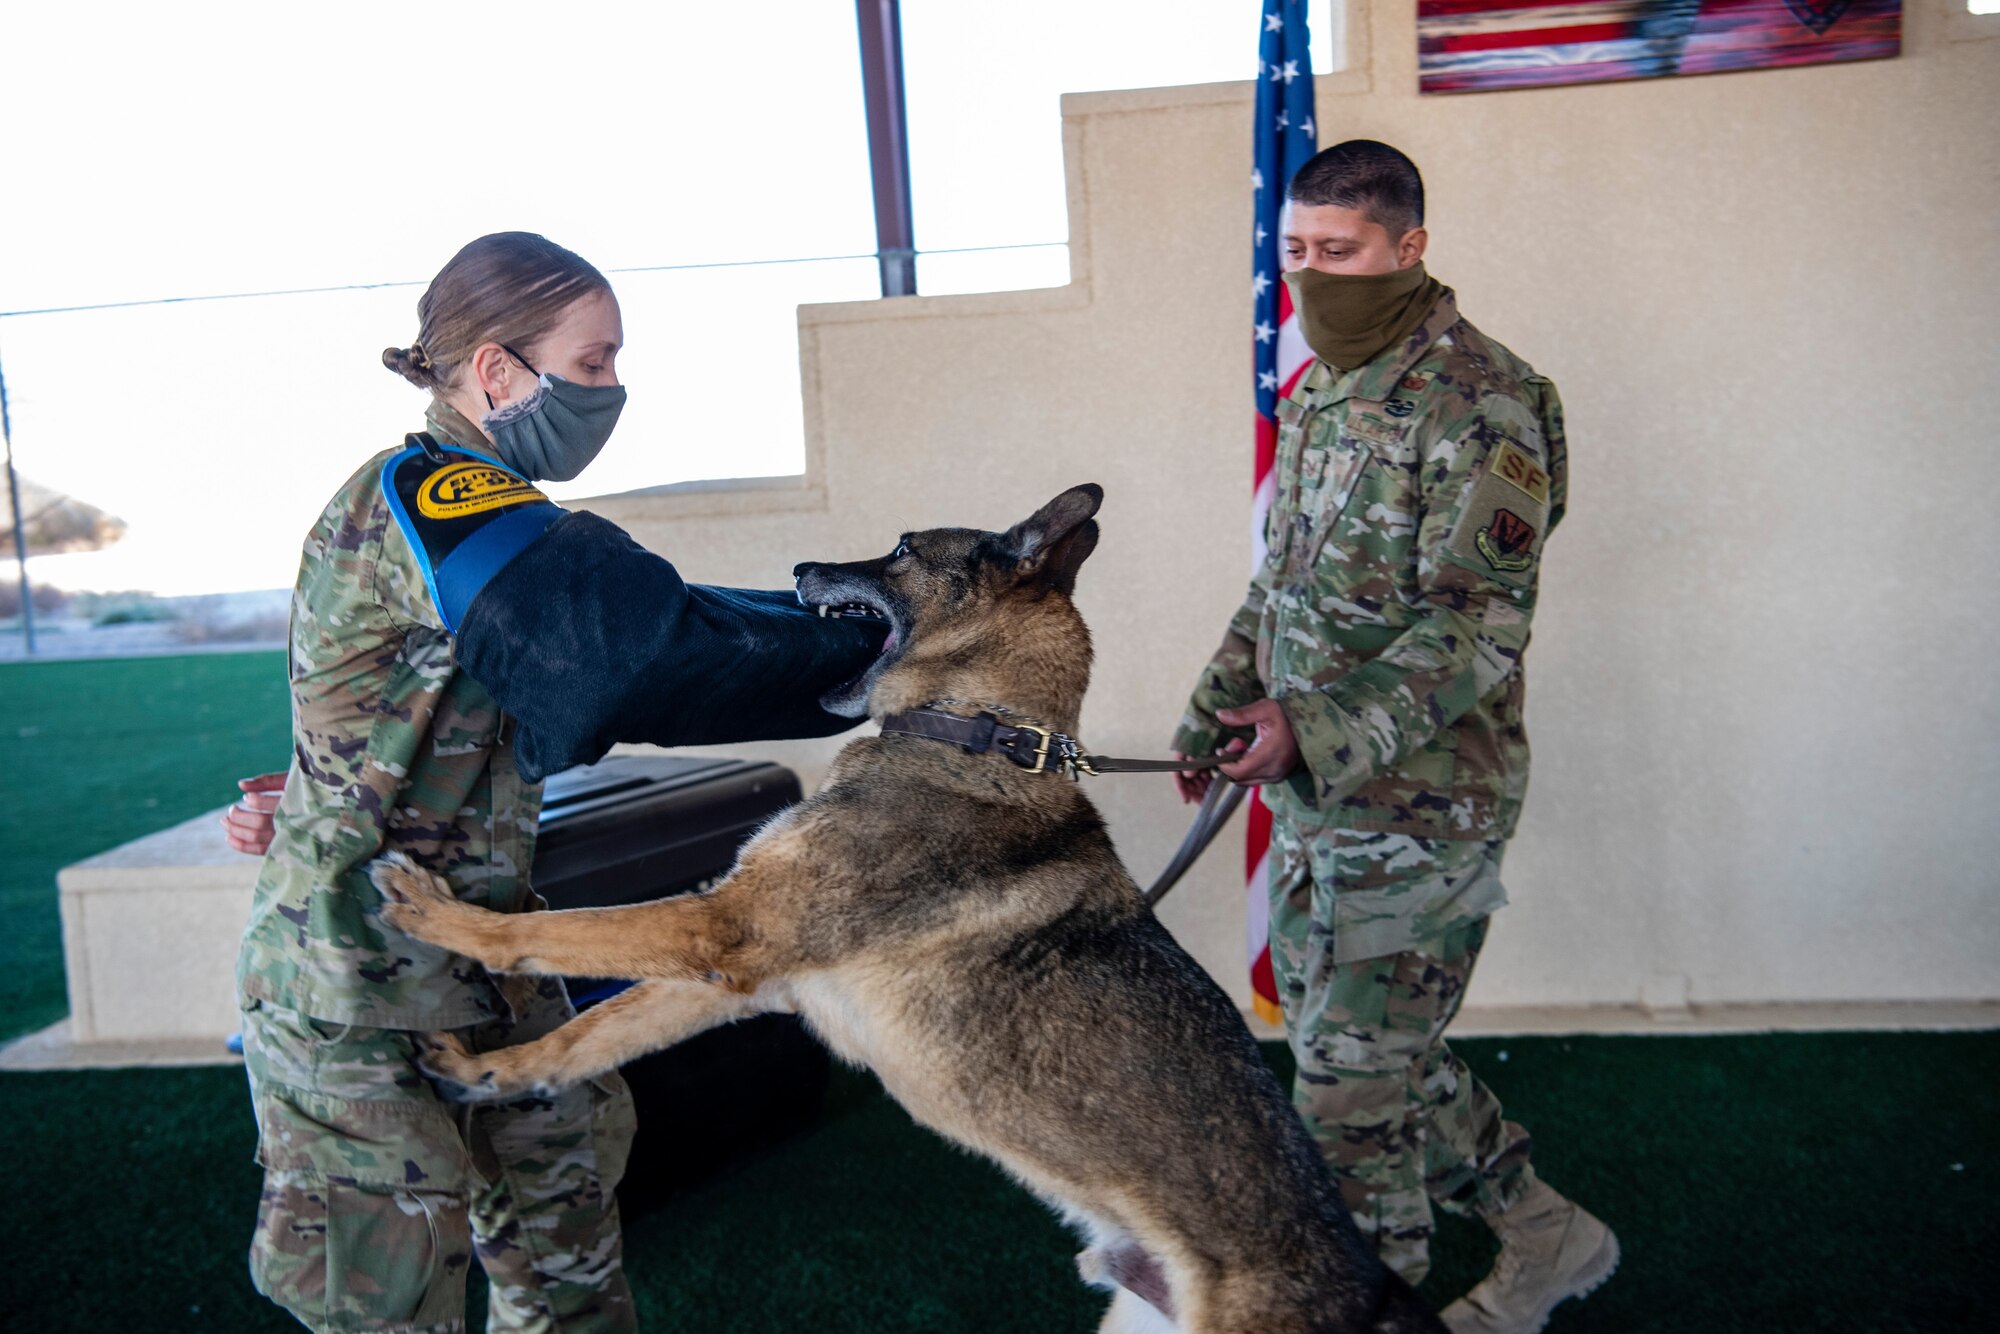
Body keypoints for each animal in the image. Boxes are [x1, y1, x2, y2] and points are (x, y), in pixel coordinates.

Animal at [372, 488, 1440, 1334]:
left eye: (897, 548)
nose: (797, 564)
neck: (980, 736)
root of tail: (1375, 1292)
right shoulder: (738, 975)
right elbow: (583, 1035)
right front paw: (489, 1074)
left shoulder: (723, 928)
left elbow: (553, 931)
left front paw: (445, 922)